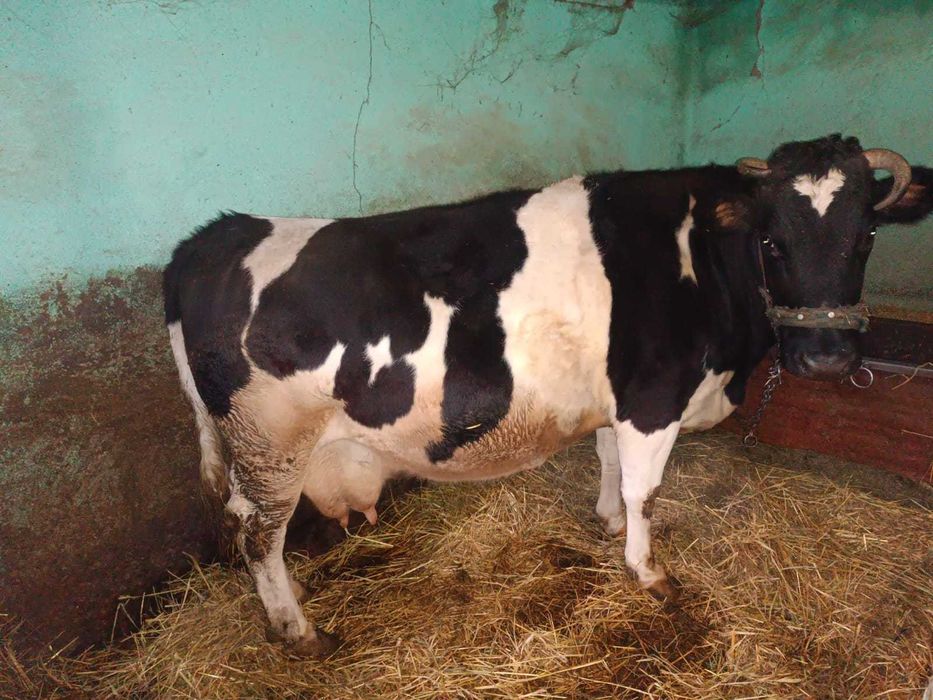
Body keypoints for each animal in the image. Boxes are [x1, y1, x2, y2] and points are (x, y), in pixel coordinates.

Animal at [164, 135, 931, 656]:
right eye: (771, 241)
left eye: (866, 234)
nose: (827, 356)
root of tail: (215, 236)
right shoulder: (654, 397)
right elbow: (644, 490)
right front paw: (647, 570)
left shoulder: (616, 396)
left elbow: (608, 462)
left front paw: (607, 523)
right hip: (273, 443)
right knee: (258, 535)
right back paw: (297, 629)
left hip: (258, 448)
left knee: (245, 523)